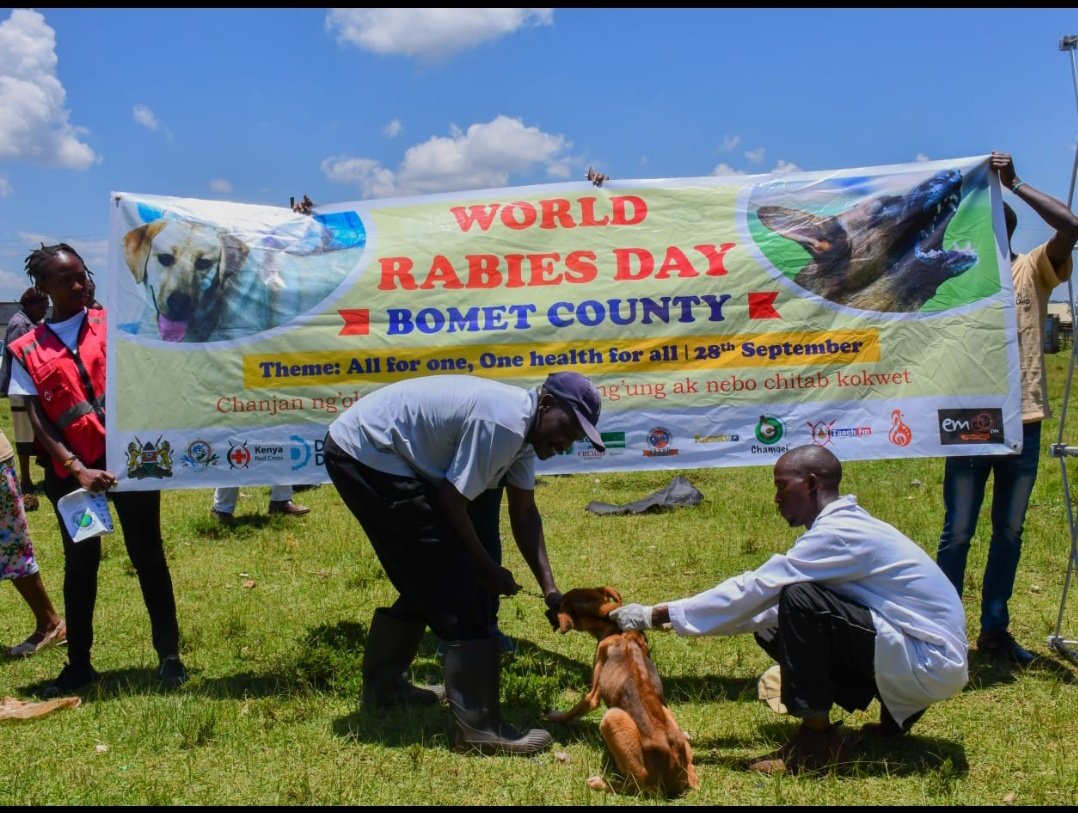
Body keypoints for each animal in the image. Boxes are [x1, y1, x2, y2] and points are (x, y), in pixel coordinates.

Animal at [551, 586, 694, 793]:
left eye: (559, 605)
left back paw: (601, 783)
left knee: (637, 786)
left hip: (612, 718)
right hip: (666, 711)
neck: (617, 629)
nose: (546, 612)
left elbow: (580, 706)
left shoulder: (594, 691)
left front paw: (557, 717)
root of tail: (678, 770)